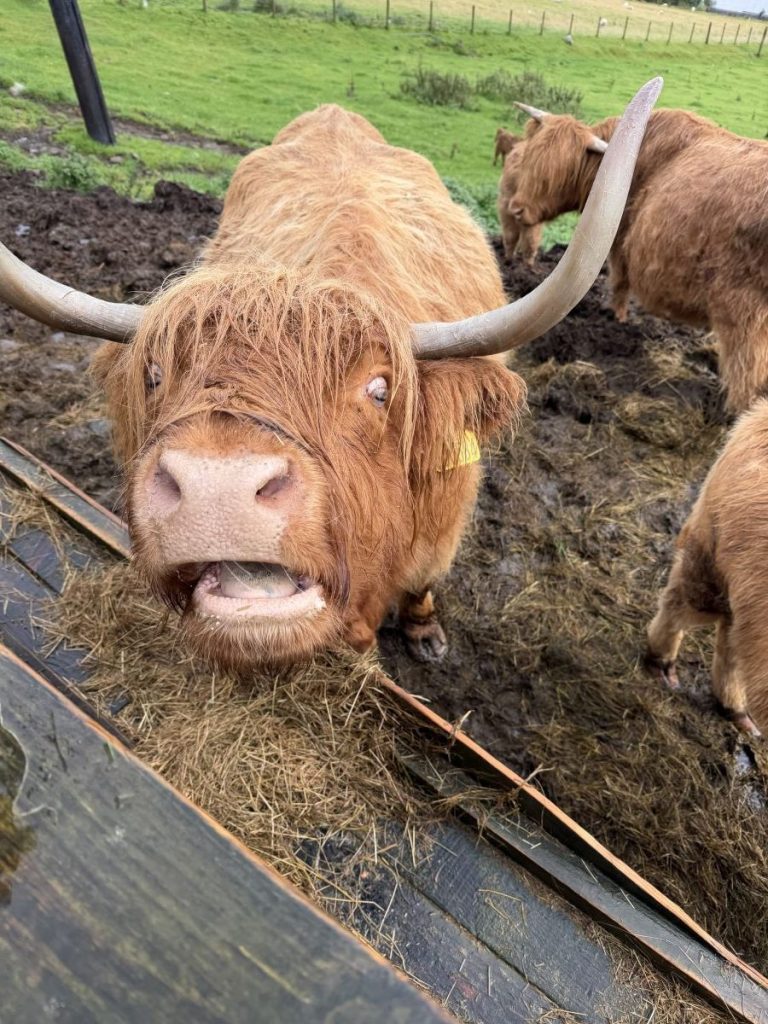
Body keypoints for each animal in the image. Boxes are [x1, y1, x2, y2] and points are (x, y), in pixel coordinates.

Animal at [0, 81, 660, 670]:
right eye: (156, 375)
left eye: (379, 388)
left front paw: (425, 635)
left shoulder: (441, 525)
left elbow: (423, 581)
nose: (217, 489)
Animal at [509, 103, 768, 413]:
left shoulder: (619, 241)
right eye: (530, 156)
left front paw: (617, 320)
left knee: (746, 378)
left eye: (557, 171)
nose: (516, 209)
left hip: (742, 312)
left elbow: (620, 284)